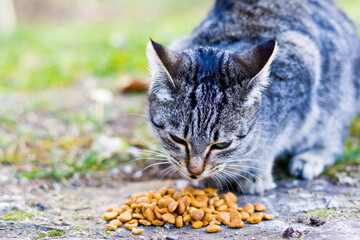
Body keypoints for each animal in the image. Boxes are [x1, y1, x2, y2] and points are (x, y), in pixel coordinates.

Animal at [145, 0, 358, 194]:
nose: (194, 171)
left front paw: (255, 174)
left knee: (333, 137)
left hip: (336, 102)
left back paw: (312, 156)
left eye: (222, 144)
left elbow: (273, 142)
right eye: (176, 139)